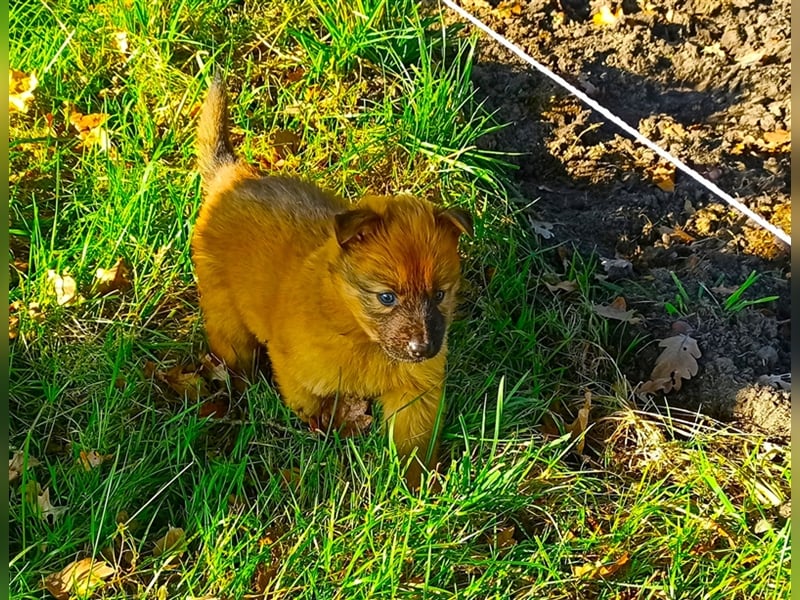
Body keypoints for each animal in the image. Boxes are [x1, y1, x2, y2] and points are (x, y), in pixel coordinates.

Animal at [191, 76, 472, 488]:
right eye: (386, 297)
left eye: (439, 294)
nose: (422, 349)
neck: (360, 334)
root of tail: (235, 176)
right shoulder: (298, 372)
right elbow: (313, 406)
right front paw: (328, 434)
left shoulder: (415, 390)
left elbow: (412, 444)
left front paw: (415, 488)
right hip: (226, 314)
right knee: (234, 354)